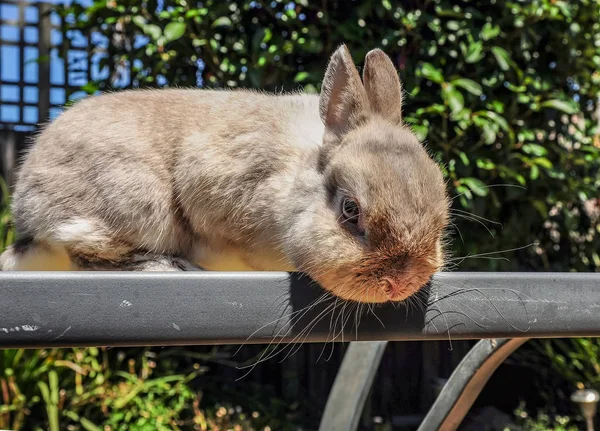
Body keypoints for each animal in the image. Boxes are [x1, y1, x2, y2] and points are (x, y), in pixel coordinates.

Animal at [0, 44, 450, 304]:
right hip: (136, 205)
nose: (401, 283)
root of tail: (26, 215)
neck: (290, 182)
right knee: (86, 252)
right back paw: (170, 267)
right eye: (350, 210)